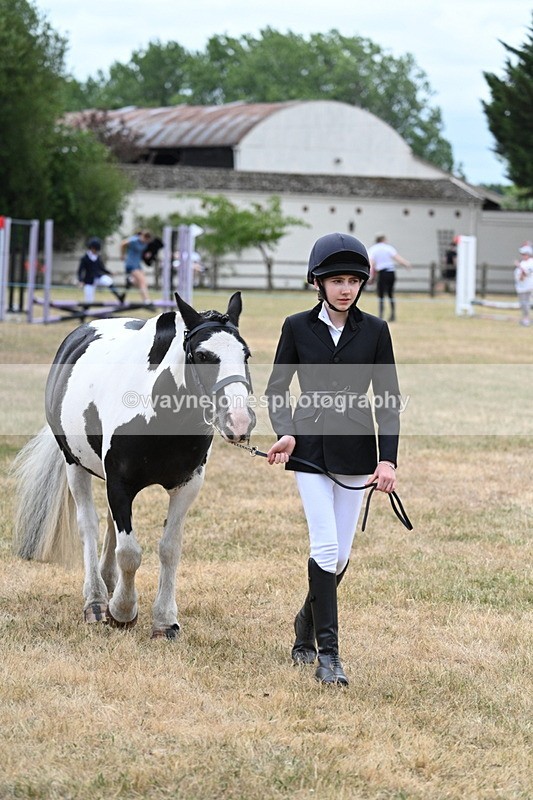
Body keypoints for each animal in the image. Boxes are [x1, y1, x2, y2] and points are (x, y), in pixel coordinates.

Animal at [12, 291, 256, 639]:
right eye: (202, 355)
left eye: (245, 354)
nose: (239, 421)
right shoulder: (120, 484)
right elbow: (129, 553)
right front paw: (123, 611)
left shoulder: (187, 485)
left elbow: (169, 549)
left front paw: (165, 621)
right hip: (75, 467)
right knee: (89, 525)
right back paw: (96, 600)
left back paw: (108, 582)